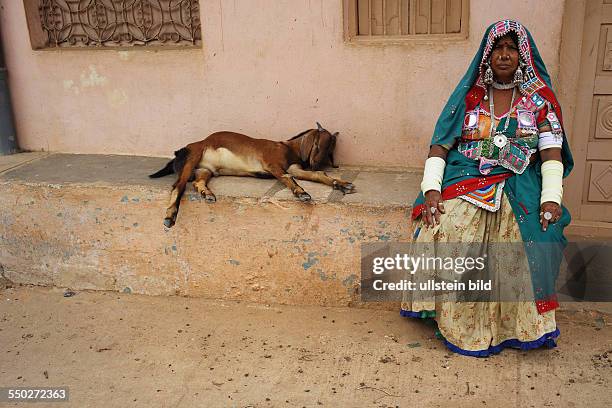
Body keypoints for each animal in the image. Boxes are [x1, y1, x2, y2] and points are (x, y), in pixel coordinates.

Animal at [150, 122, 356, 228]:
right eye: (318, 145)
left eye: (330, 150)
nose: (315, 164)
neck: (288, 148)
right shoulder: (273, 165)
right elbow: (287, 178)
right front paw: (301, 193)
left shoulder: (294, 167)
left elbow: (317, 175)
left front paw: (341, 183)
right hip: (193, 158)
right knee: (178, 185)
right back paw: (170, 215)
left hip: (205, 170)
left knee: (196, 182)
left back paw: (207, 194)